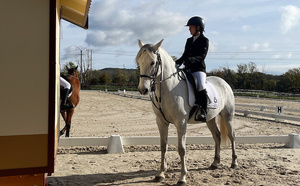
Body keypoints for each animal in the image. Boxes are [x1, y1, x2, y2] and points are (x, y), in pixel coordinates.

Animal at [137, 38, 239, 185]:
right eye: (139, 62)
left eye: (153, 62)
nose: (143, 90)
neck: (169, 88)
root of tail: (223, 82)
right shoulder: (161, 122)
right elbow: (163, 146)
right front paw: (160, 174)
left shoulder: (181, 123)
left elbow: (181, 149)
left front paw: (182, 178)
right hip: (209, 119)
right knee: (217, 136)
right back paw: (215, 163)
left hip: (228, 115)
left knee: (231, 136)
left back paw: (234, 163)